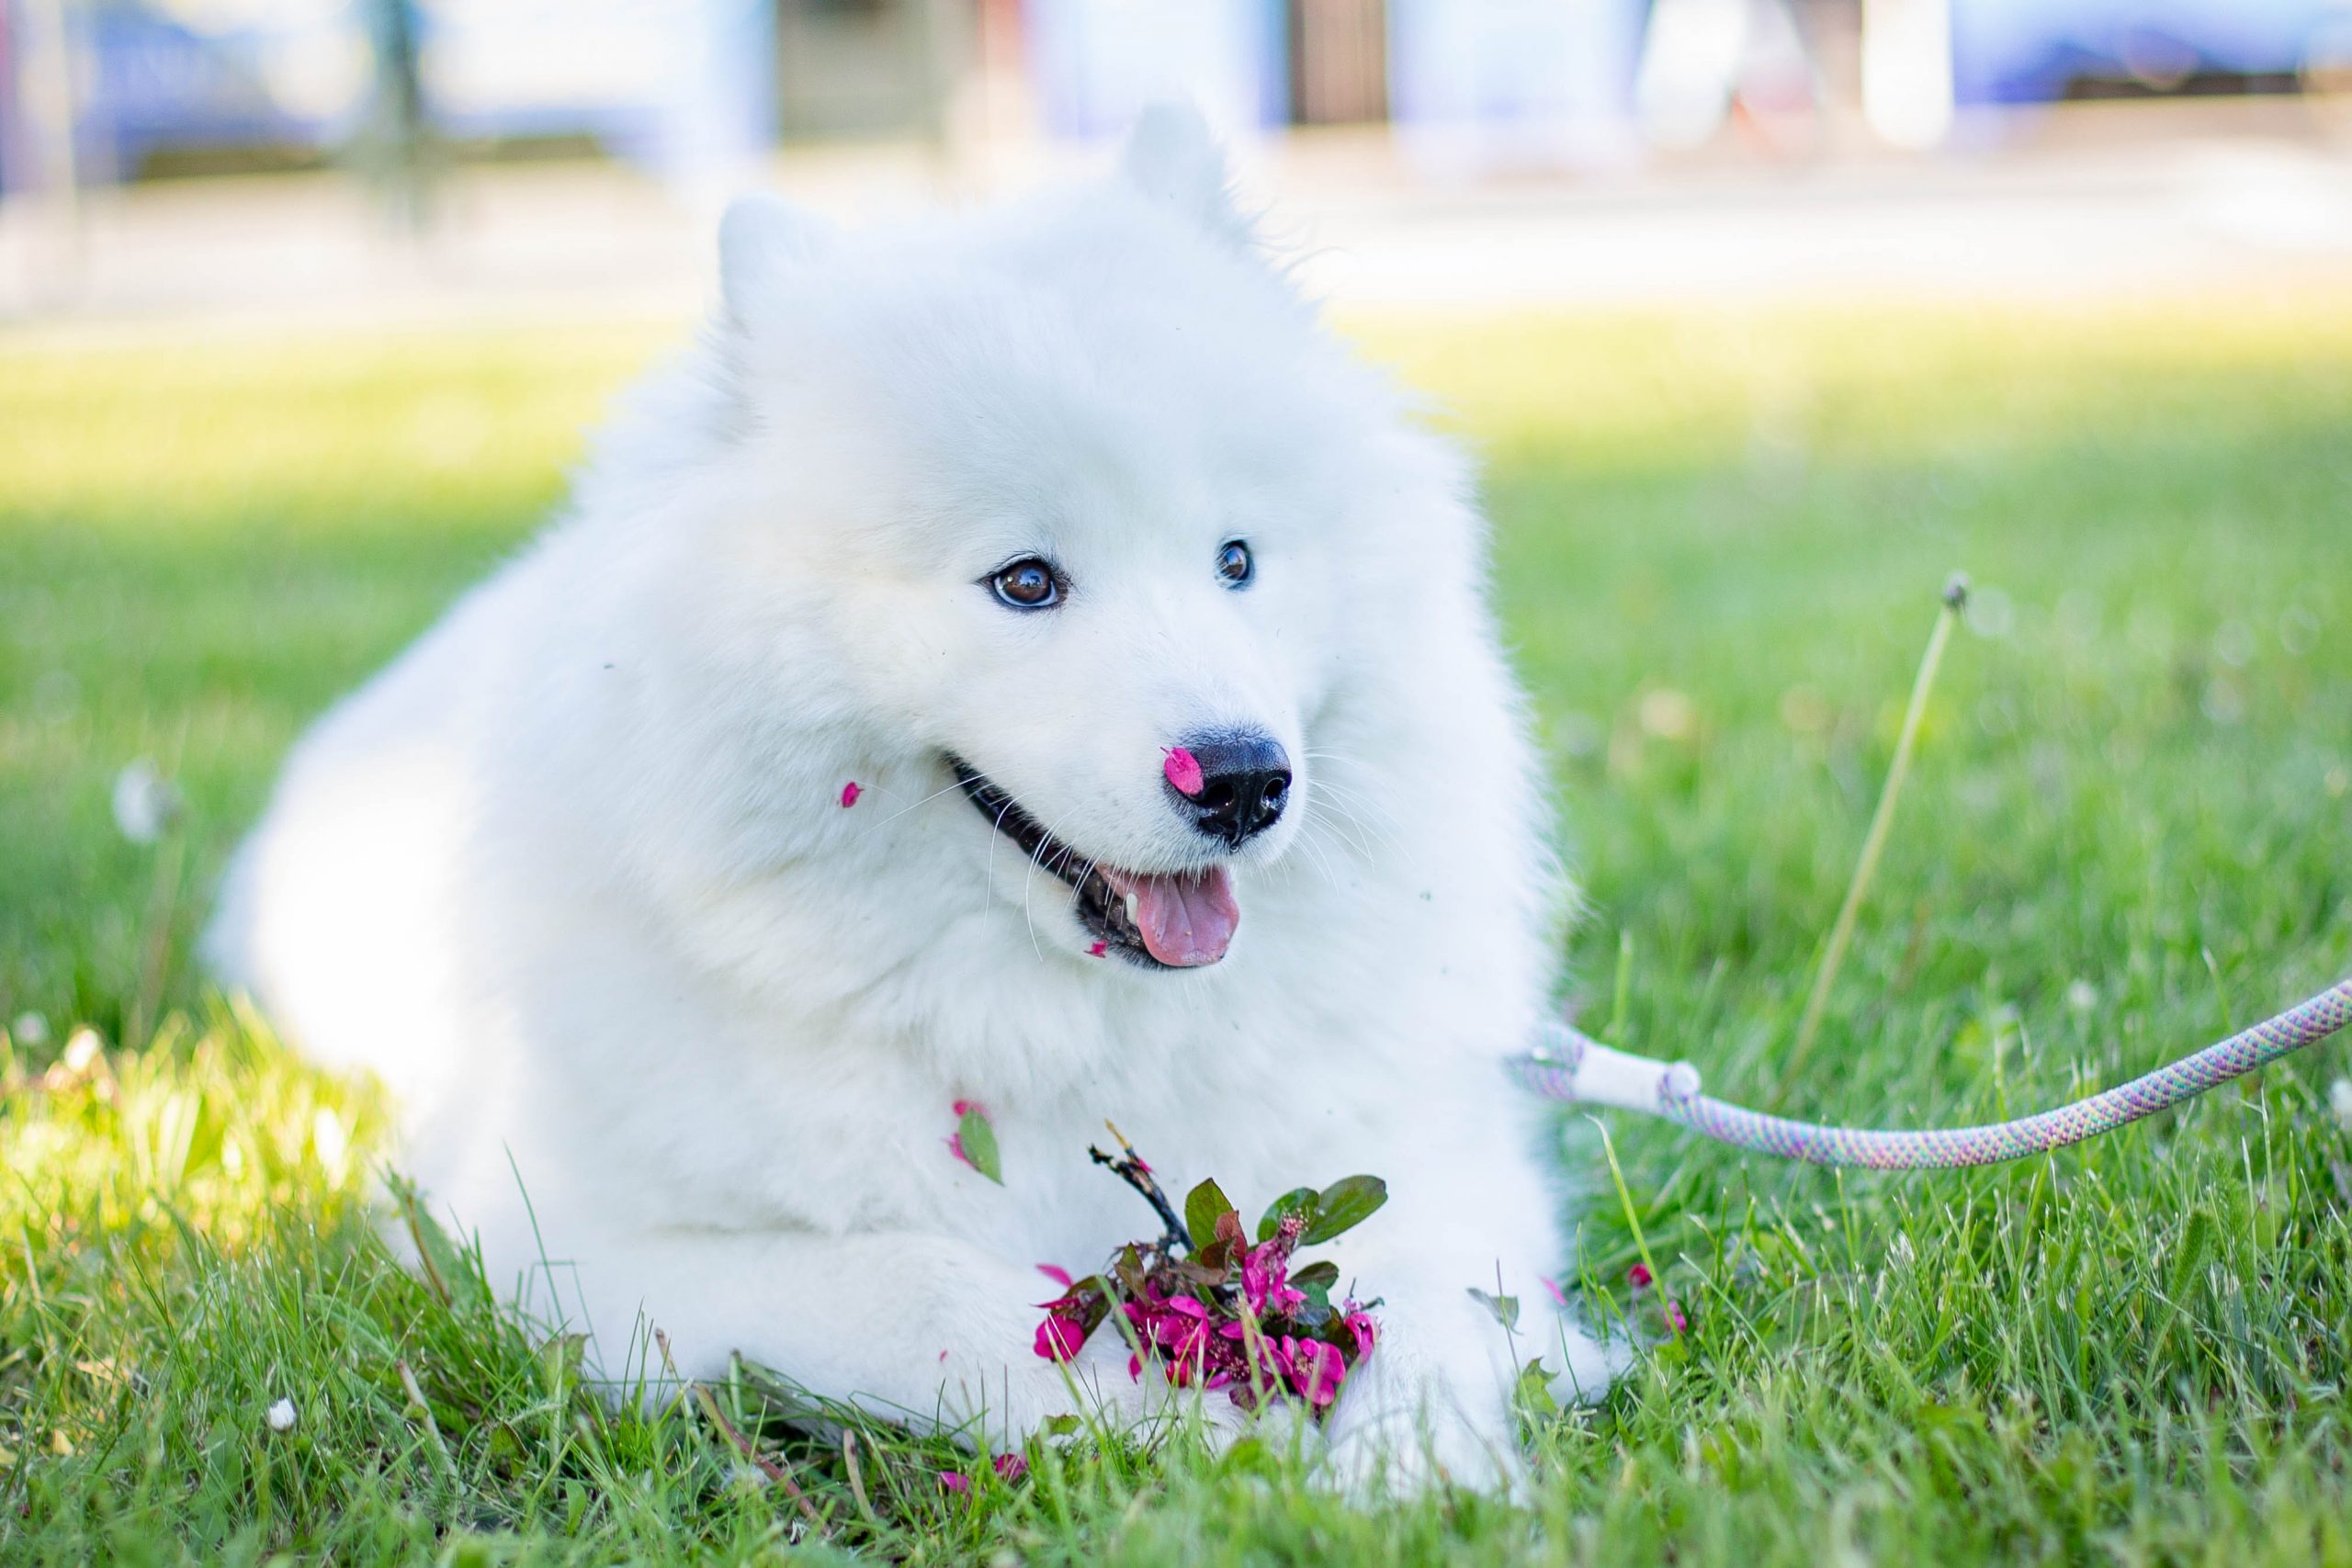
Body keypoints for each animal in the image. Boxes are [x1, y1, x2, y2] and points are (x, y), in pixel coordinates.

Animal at [207, 107, 1618, 1485]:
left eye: (1236, 561)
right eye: (1025, 582)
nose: (1242, 779)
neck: (1055, 1032)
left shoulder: (1436, 1162)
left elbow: (1438, 1304)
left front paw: (1414, 1472)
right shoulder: (565, 1247)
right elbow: (929, 1287)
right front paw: (1192, 1439)